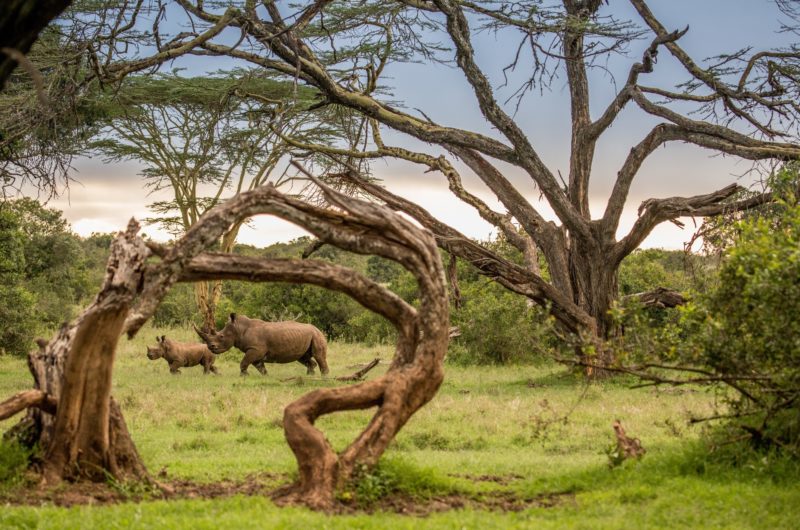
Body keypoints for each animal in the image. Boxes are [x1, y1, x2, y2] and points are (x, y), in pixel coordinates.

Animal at [193, 314, 328, 376]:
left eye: (221, 336)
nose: (210, 347)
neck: (239, 329)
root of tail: (318, 329)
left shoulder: (255, 349)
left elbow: (244, 362)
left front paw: (244, 376)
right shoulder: (255, 350)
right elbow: (259, 366)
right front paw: (265, 376)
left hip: (316, 335)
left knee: (319, 356)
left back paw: (324, 377)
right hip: (306, 336)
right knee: (303, 358)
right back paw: (310, 375)